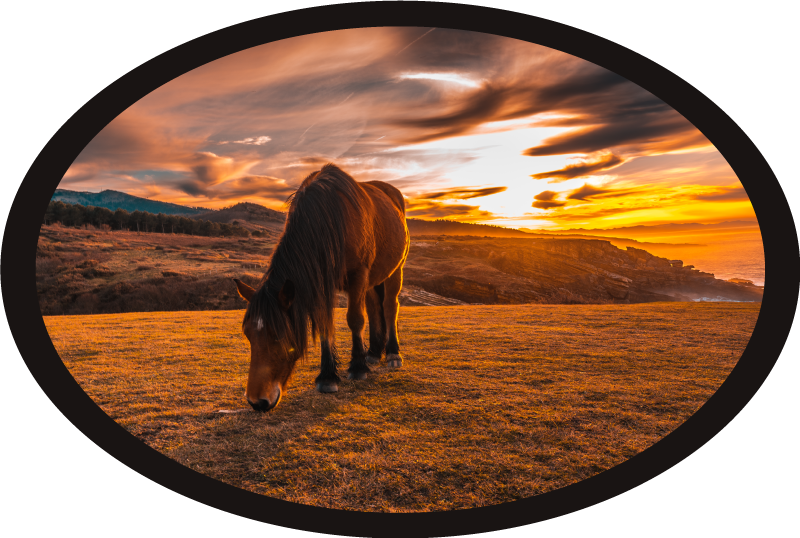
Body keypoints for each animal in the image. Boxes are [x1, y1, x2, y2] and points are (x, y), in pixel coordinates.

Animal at [232, 164, 410, 412]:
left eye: (278, 335)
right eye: (248, 335)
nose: (257, 402)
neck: (332, 219)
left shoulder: (357, 275)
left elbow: (355, 319)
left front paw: (357, 368)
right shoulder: (322, 283)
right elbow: (325, 324)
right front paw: (328, 376)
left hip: (395, 271)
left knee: (390, 307)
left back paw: (393, 354)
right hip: (373, 279)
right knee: (375, 307)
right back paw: (374, 353)